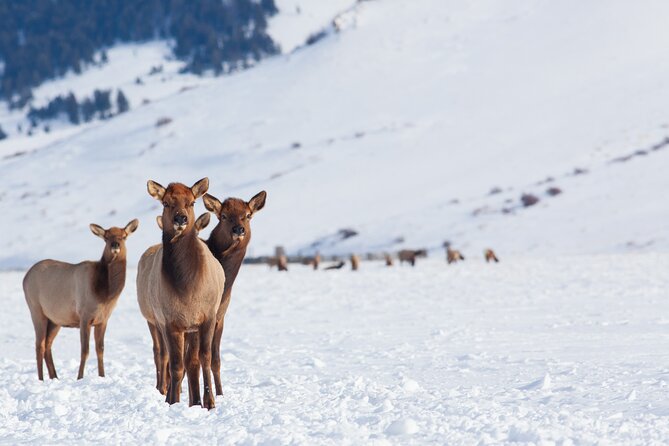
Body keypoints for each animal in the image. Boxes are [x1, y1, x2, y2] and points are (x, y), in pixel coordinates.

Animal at [23, 219, 138, 380]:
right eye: (106, 237)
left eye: (124, 236)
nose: (115, 245)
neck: (105, 294)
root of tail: (25, 278)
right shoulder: (84, 317)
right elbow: (85, 350)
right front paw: (80, 377)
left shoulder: (103, 320)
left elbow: (100, 349)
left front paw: (102, 376)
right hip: (36, 310)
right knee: (39, 345)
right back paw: (41, 379)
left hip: (55, 320)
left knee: (48, 345)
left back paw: (55, 377)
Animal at [137, 178, 224, 409]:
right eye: (166, 202)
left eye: (192, 202)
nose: (181, 218)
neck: (186, 288)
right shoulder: (170, 322)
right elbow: (176, 365)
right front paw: (173, 401)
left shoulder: (207, 317)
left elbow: (204, 359)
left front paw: (209, 401)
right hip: (160, 322)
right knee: (168, 357)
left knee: (192, 361)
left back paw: (196, 400)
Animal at [200, 191, 266, 396]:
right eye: (223, 216)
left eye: (248, 215)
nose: (239, 229)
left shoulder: (220, 316)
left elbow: (216, 359)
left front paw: (220, 393)